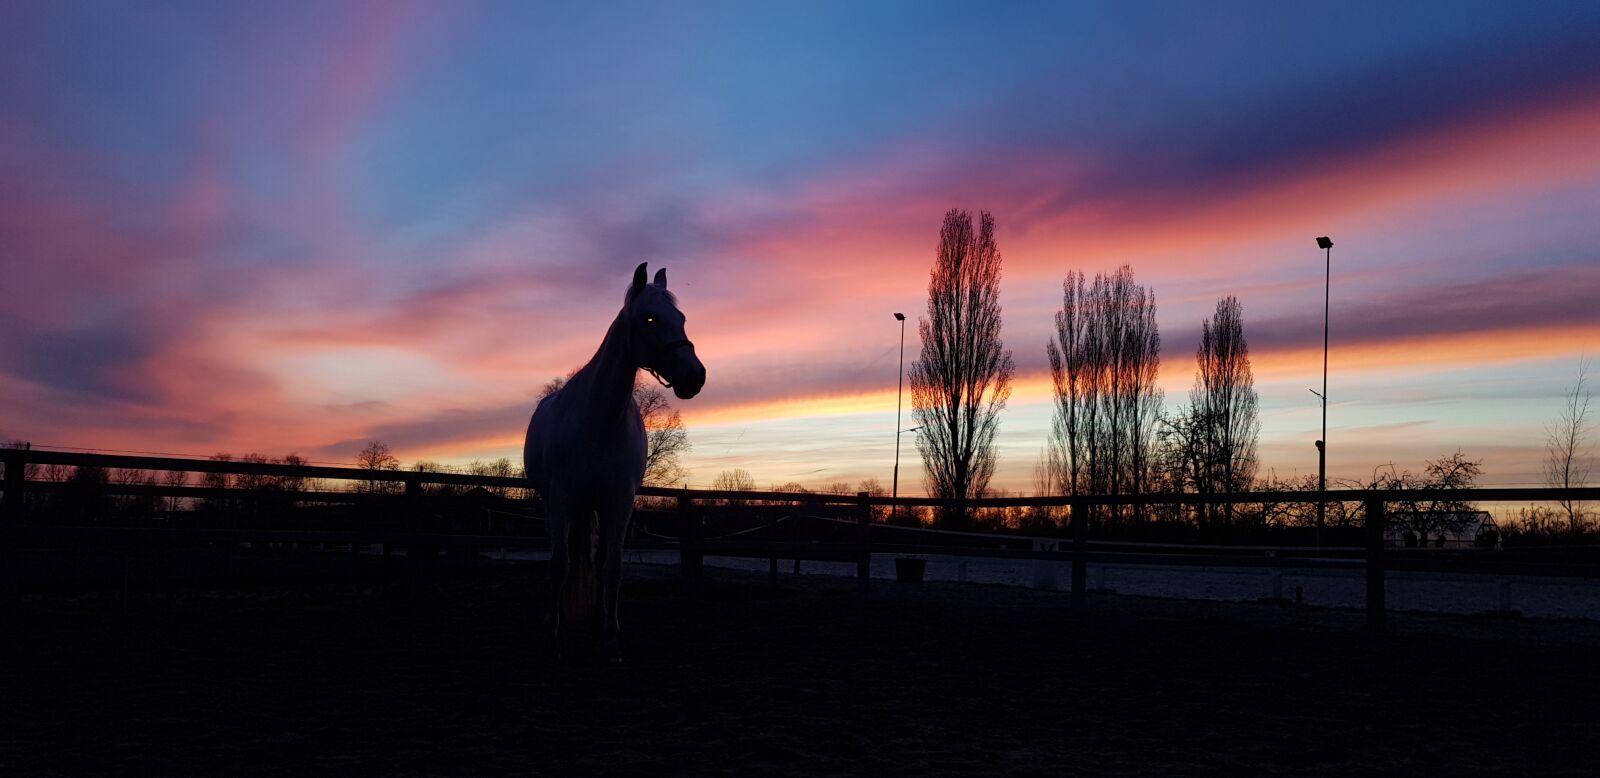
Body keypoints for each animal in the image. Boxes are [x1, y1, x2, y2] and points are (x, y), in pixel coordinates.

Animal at [524, 262, 705, 660]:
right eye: (650, 318)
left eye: (682, 318)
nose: (695, 376)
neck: (600, 420)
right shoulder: (562, 499)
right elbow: (559, 565)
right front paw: (551, 633)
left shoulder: (620, 501)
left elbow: (612, 568)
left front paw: (609, 637)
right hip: (556, 504)